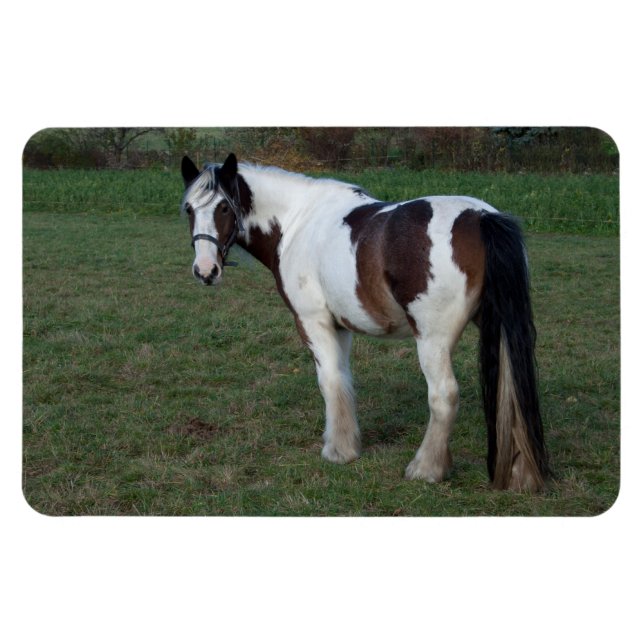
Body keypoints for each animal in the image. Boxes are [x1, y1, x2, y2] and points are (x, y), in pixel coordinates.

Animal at [180, 153, 549, 492]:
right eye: (189, 209)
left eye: (223, 208)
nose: (205, 271)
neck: (297, 220)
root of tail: (483, 217)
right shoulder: (340, 325)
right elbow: (342, 379)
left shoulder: (313, 322)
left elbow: (329, 380)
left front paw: (338, 451)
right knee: (510, 391)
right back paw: (521, 475)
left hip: (433, 339)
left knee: (443, 395)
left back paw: (426, 468)